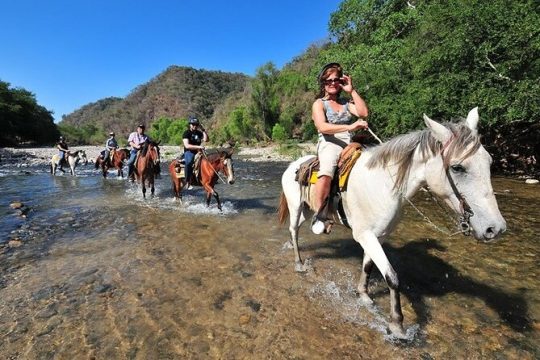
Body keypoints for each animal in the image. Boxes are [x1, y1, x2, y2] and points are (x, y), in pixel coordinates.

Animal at [278, 108, 506, 338]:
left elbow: (368, 266)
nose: (495, 228)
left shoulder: (378, 235)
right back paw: (299, 263)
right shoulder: (364, 235)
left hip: (308, 210)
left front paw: (364, 296)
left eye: (489, 162)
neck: (383, 185)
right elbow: (392, 276)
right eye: (458, 167)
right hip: (296, 207)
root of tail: (293, 165)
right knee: (293, 231)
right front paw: (397, 324)